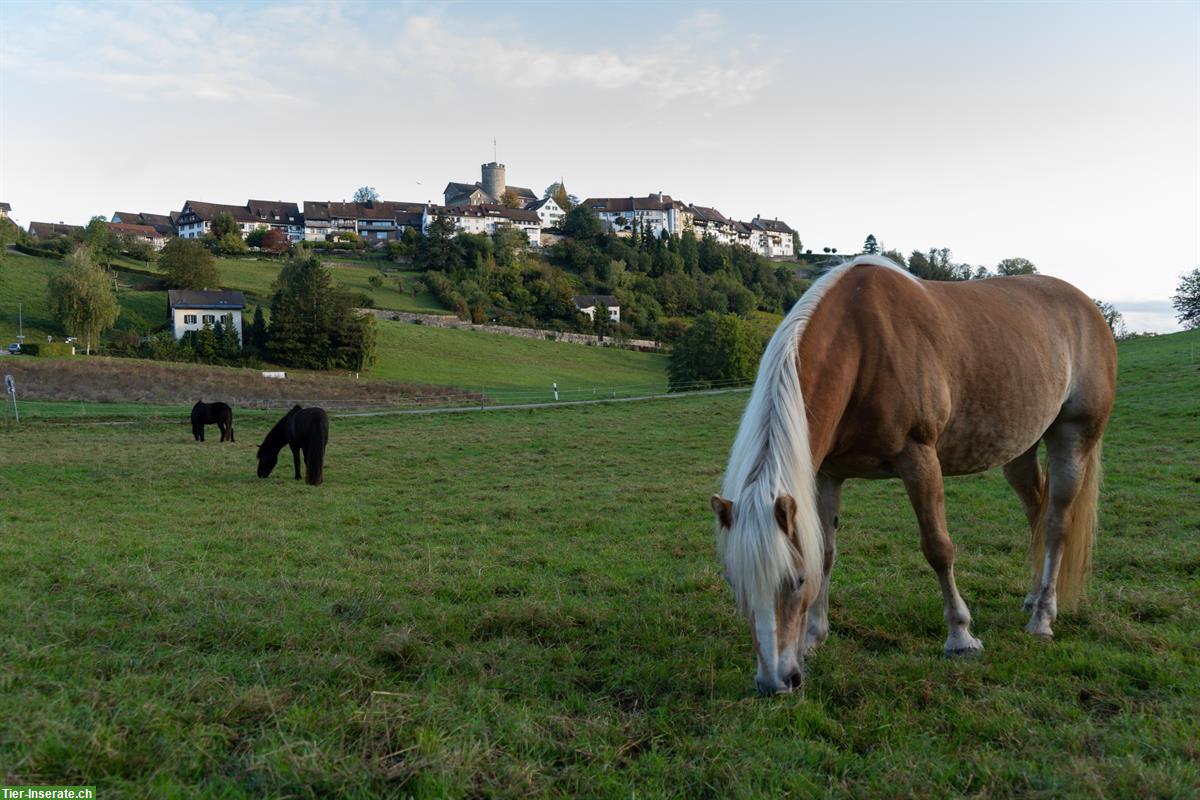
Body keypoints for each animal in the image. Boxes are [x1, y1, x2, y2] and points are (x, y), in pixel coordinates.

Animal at [710, 256, 1113, 695]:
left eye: (797, 580)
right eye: (733, 581)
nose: (775, 681)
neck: (862, 344)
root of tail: (1089, 309)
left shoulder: (920, 460)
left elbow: (938, 548)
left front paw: (960, 637)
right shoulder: (827, 475)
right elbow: (827, 552)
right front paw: (816, 636)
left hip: (1072, 438)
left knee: (1056, 524)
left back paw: (1041, 617)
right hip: (1020, 452)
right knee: (1036, 515)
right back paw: (1032, 598)